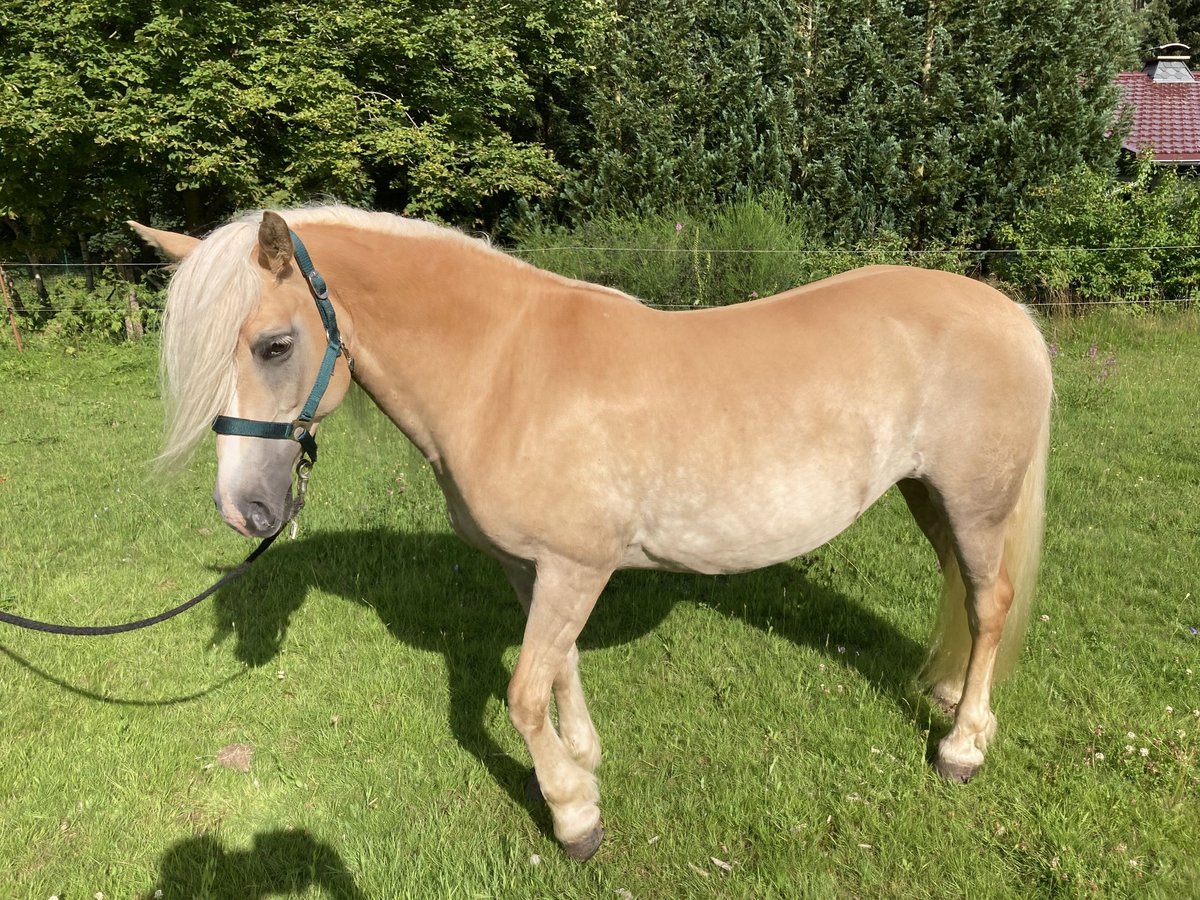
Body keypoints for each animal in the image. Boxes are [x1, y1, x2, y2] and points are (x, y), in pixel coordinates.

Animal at [131, 207, 1051, 864]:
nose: (244, 511)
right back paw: (946, 692)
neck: (502, 373)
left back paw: (963, 745)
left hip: (974, 501)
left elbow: (522, 694)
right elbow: (557, 668)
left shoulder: (577, 567)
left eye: (274, 344)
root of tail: (1005, 309)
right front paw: (583, 758)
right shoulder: (535, 567)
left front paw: (573, 817)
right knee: (964, 593)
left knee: (990, 601)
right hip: (930, 497)